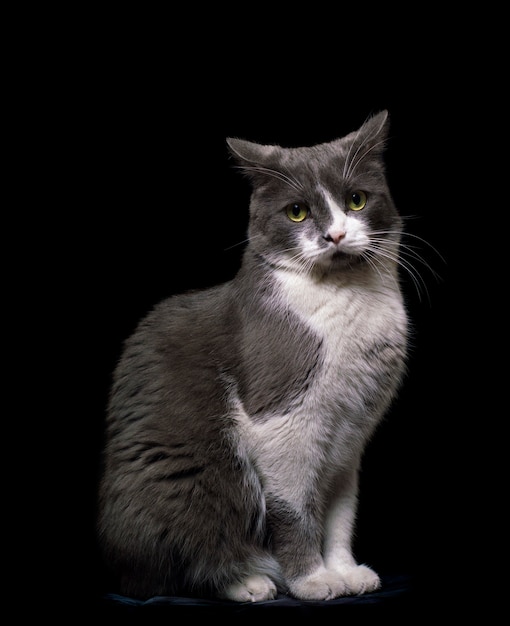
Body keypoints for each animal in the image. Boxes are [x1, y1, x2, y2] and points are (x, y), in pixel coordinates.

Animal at [97, 109, 410, 604]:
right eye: (297, 211)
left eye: (356, 200)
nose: (336, 234)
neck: (350, 300)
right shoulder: (283, 420)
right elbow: (295, 510)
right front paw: (314, 580)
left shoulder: (352, 435)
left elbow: (341, 512)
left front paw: (345, 571)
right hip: (197, 482)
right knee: (179, 563)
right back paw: (249, 581)